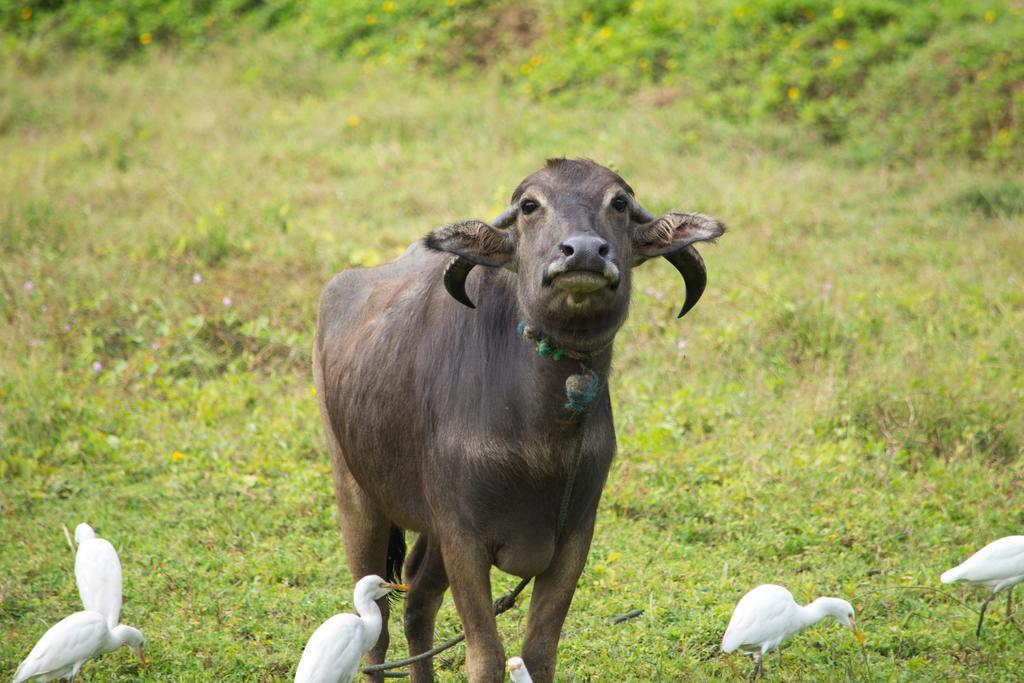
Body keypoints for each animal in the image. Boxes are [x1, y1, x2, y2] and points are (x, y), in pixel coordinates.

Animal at [315, 157, 724, 679]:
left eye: (619, 203)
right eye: (530, 206)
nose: (583, 251)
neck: (541, 441)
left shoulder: (573, 537)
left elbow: (538, 653)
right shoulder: (463, 536)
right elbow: (486, 655)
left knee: (417, 600)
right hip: (356, 495)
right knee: (379, 625)